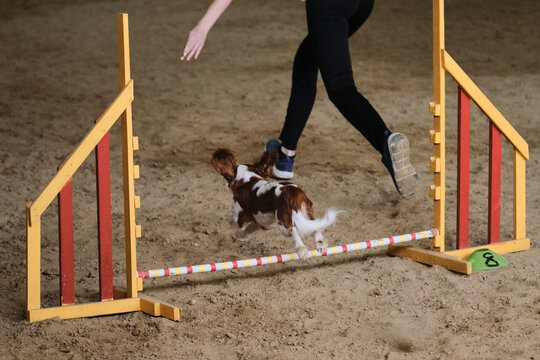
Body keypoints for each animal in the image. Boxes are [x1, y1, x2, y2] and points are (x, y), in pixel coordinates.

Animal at [210, 148, 340, 258]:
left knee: (293, 229)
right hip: (306, 212)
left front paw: (237, 232)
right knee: (316, 225)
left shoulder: (240, 215)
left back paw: (301, 249)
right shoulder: (262, 220)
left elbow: (233, 221)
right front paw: (243, 236)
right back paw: (321, 244)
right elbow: (253, 227)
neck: (247, 179)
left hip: (283, 223)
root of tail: (291, 192)